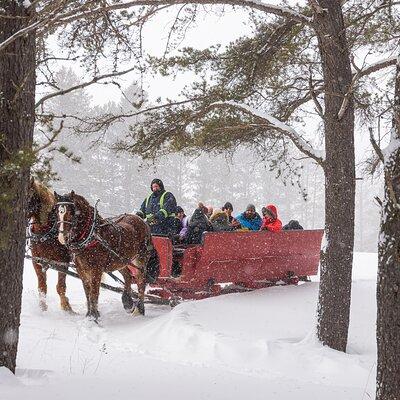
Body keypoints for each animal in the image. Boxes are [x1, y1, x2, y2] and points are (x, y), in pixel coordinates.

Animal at [27, 178, 74, 312]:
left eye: (29, 197)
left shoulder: (63, 261)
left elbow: (61, 286)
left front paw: (66, 307)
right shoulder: (37, 261)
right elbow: (42, 287)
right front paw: (43, 308)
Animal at [54, 191, 152, 322]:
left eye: (70, 212)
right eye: (57, 212)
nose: (62, 238)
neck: (91, 236)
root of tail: (141, 220)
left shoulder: (96, 270)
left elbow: (94, 292)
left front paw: (94, 316)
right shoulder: (81, 270)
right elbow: (87, 291)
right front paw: (89, 315)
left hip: (140, 259)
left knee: (141, 281)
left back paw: (140, 308)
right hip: (121, 261)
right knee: (127, 276)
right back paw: (127, 302)